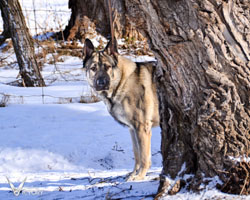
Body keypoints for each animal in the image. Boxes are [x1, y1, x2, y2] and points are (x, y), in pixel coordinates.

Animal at [83, 38, 159, 180]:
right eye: (93, 68)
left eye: (107, 67)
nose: (101, 83)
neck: (121, 82)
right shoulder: (132, 129)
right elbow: (137, 154)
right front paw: (134, 174)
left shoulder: (142, 128)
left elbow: (144, 156)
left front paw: (140, 176)